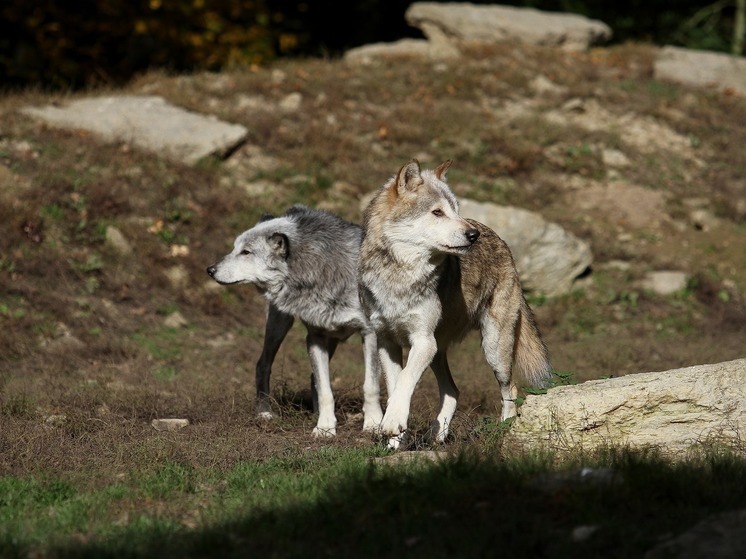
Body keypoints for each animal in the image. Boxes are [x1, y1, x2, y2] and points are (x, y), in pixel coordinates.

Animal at [209, 206, 384, 438]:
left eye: (246, 252)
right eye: (234, 248)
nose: (210, 270)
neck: (321, 271)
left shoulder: (370, 334)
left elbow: (370, 386)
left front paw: (372, 425)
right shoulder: (315, 337)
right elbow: (325, 390)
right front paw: (324, 428)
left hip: (330, 339)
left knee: (312, 377)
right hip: (279, 326)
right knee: (262, 365)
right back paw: (264, 413)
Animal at [358, 160, 548, 448]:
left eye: (456, 210)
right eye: (437, 212)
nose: (473, 234)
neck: (399, 275)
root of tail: (500, 239)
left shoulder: (422, 341)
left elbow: (405, 380)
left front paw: (392, 425)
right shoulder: (387, 342)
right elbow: (395, 388)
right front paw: (394, 442)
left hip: (492, 350)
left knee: (511, 389)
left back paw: (503, 431)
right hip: (438, 352)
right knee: (453, 391)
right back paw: (437, 436)